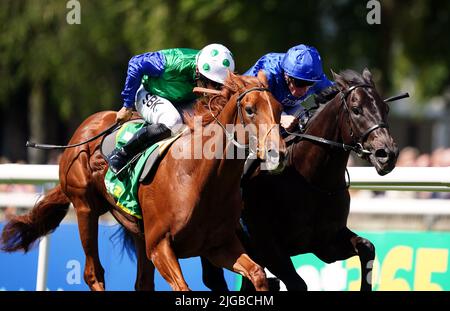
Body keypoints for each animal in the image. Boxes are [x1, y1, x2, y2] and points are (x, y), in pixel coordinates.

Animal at [0, 72, 284, 292]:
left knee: (142, 283)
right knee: (93, 273)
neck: (200, 177)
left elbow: (259, 274)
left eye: (279, 109)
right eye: (250, 109)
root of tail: (85, 128)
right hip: (85, 208)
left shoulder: (217, 245)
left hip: (137, 230)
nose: (277, 153)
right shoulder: (160, 247)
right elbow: (183, 287)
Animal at [202, 69, 400, 292]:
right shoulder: (267, 246)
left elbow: (367, 247)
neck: (312, 181)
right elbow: (298, 284)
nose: (387, 154)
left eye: (386, 108)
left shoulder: (327, 242)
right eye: (356, 109)